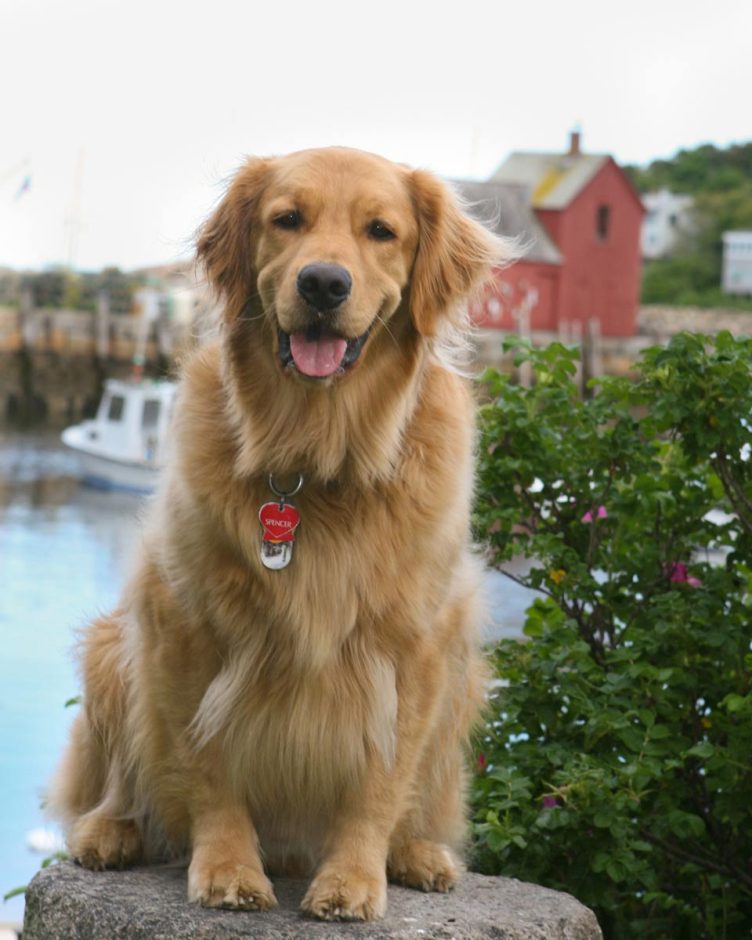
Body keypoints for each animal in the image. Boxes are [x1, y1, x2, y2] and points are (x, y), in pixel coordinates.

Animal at [49, 147, 509, 921]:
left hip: (464, 677)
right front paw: (229, 867)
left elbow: (381, 779)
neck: (315, 460)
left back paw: (417, 853)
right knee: (119, 777)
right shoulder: (186, 625)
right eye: (287, 219)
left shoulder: (415, 647)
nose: (323, 282)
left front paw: (352, 877)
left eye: (381, 231)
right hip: (114, 644)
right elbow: (208, 763)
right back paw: (112, 829)